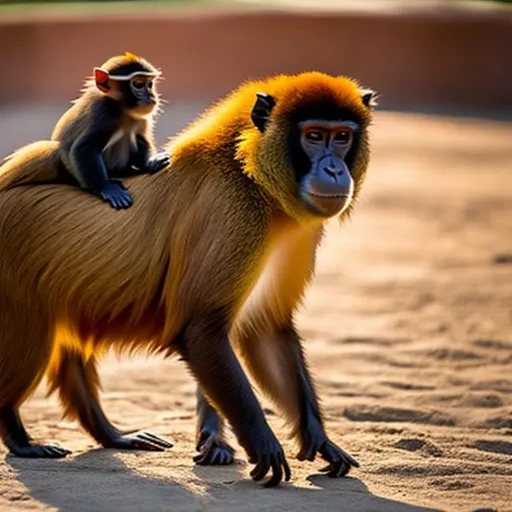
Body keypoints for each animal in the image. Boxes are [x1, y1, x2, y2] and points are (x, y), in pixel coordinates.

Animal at [0, 72, 376, 488]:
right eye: (314, 136)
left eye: (341, 137)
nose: (334, 170)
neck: (250, 171)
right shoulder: (235, 211)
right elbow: (202, 331)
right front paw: (262, 443)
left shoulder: (296, 230)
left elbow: (265, 329)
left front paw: (320, 441)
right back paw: (18, 436)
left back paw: (111, 435)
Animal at [53, 53, 170, 209]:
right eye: (139, 84)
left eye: (150, 84)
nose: (152, 97)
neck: (124, 112)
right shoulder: (103, 113)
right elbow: (83, 148)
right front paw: (107, 188)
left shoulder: (141, 119)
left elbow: (140, 138)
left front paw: (149, 163)